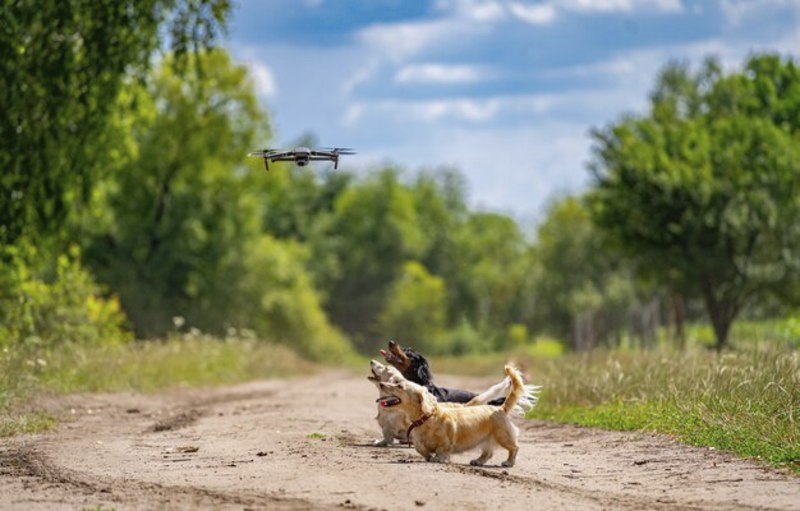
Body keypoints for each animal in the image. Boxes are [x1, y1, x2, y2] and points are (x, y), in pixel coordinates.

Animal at [382, 364, 524, 468]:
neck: (427, 418)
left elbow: (441, 450)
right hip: (487, 440)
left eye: (399, 385)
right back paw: (478, 461)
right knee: (488, 453)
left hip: (503, 436)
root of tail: (500, 409)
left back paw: (509, 462)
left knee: (515, 448)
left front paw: (438, 459)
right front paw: (429, 456)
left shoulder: (446, 442)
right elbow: (420, 449)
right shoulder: (418, 442)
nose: (382, 384)